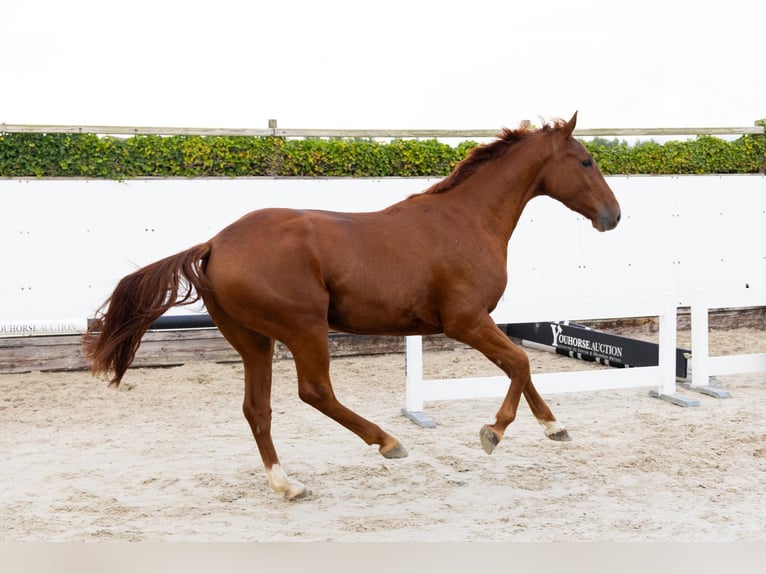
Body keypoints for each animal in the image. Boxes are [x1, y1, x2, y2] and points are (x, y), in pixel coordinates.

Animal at [83, 112, 621, 500]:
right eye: (585, 162)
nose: (613, 216)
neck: (466, 220)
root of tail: (213, 243)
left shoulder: (479, 323)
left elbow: (521, 366)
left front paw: (555, 427)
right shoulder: (465, 321)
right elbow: (521, 361)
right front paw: (494, 432)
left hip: (253, 339)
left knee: (258, 408)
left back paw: (287, 485)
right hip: (304, 328)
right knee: (315, 392)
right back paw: (388, 442)